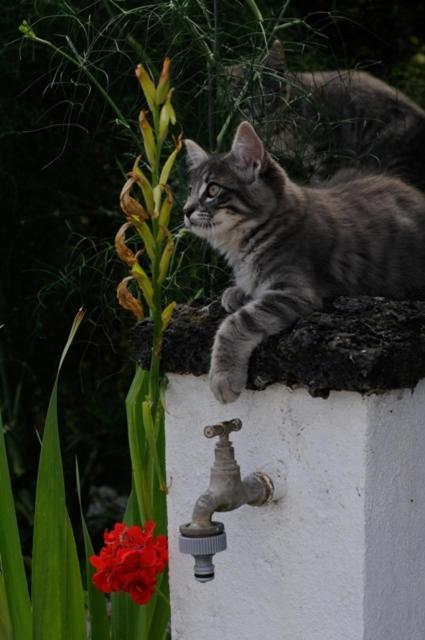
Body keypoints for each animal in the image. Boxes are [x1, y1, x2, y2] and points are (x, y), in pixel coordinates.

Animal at [184, 122, 424, 402]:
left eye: (213, 190)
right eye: (190, 191)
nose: (186, 210)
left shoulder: (295, 291)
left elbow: (237, 323)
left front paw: (224, 376)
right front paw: (238, 292)